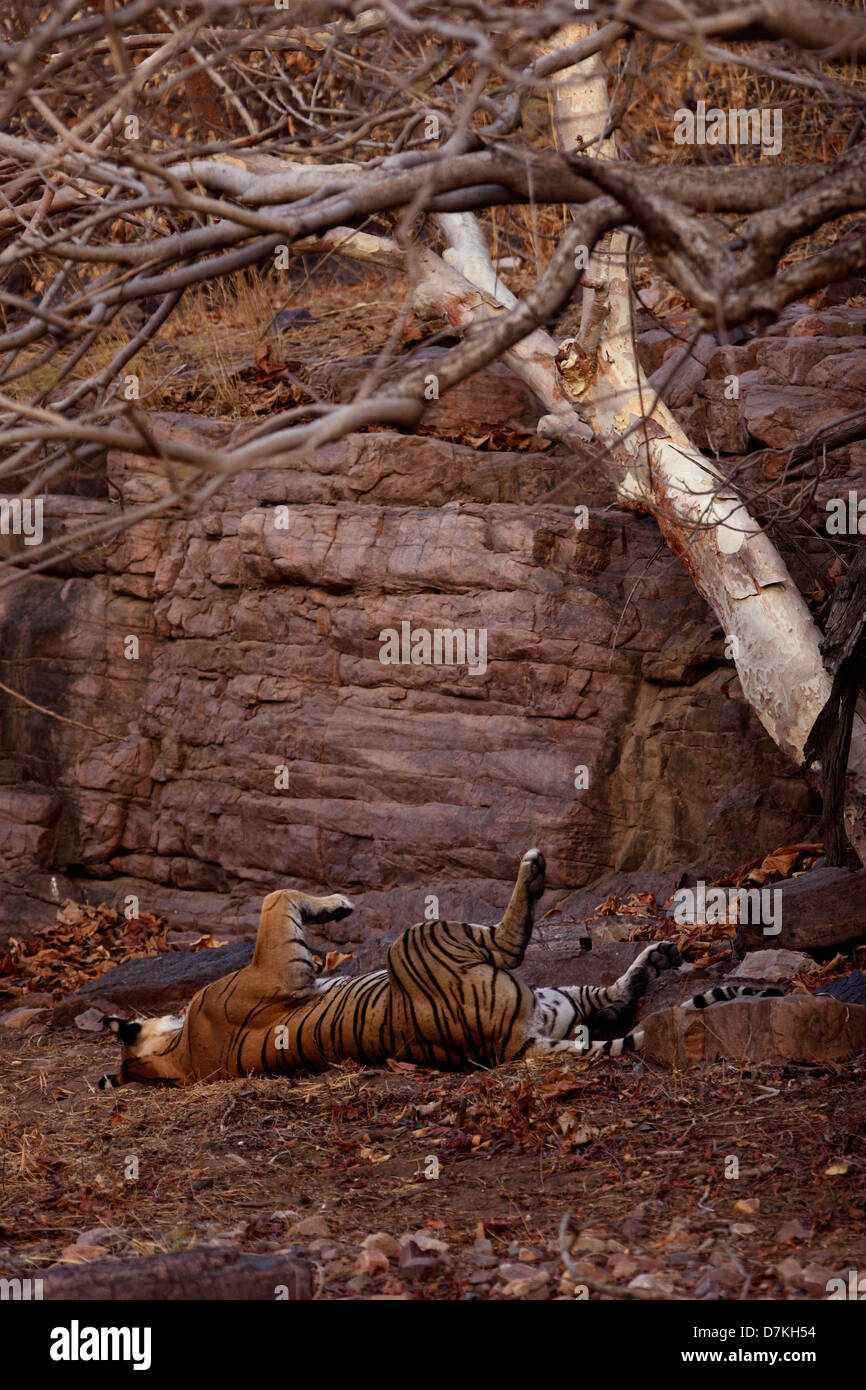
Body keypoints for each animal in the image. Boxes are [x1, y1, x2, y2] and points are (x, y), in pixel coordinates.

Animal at [98, 849, 783, 1089]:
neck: (183, 1052)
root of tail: (512, 1044)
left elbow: (277, 894)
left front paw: (334, 905)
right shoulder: (275, 964)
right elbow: (274, 896)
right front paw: (337, 904)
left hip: (555, 1000)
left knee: (611, 998)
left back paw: (656, 958)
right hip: (426, 938)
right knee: (511, 943)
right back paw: (534, 871)